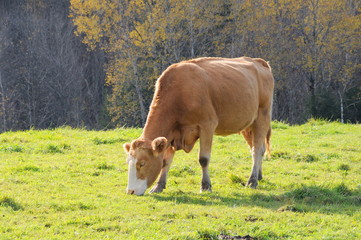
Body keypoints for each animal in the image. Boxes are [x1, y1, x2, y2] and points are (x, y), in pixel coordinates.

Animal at [123, 57, 272, 196]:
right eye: (128, 161)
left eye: (142, 163)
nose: (130, 191)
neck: (179, 93)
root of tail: (259, 61)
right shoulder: (171, 133)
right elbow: (165, 161)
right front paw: (159, 186)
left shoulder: (207, 125)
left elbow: (203, 159)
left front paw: (206, 186)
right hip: (248, 125)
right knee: (256, 148)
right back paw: (259, 176)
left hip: (262, 117)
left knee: (257, 150)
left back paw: (252, 181)